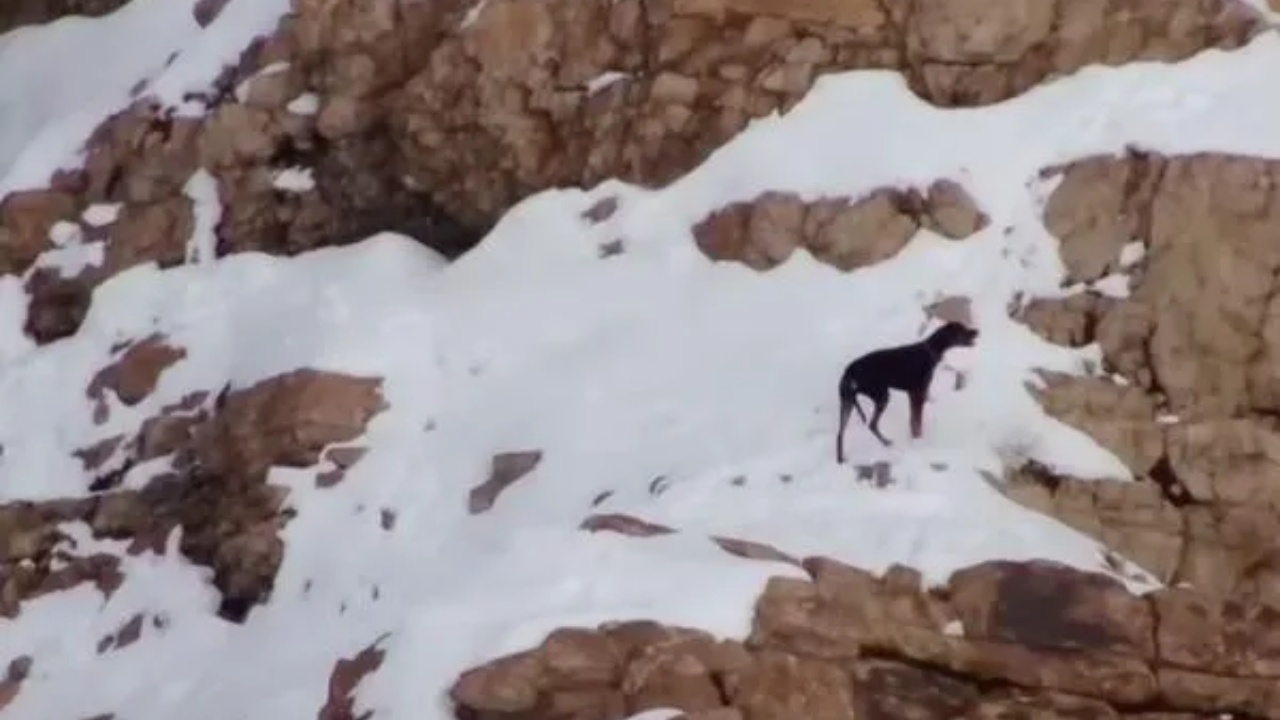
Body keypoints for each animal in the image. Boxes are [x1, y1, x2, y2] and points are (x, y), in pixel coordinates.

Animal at [834, 317, 972, 458]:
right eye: (962, 330)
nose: (976, 331)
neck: (931, 350)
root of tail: (850, 370)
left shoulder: (912, 394)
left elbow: (913, 421)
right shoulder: (918, 393)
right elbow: (917, 422)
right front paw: (918, 441)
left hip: (847, 401)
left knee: (840, 433)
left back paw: (841, 459)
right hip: (881, 396)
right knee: (872, 425)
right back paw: (886, 443)